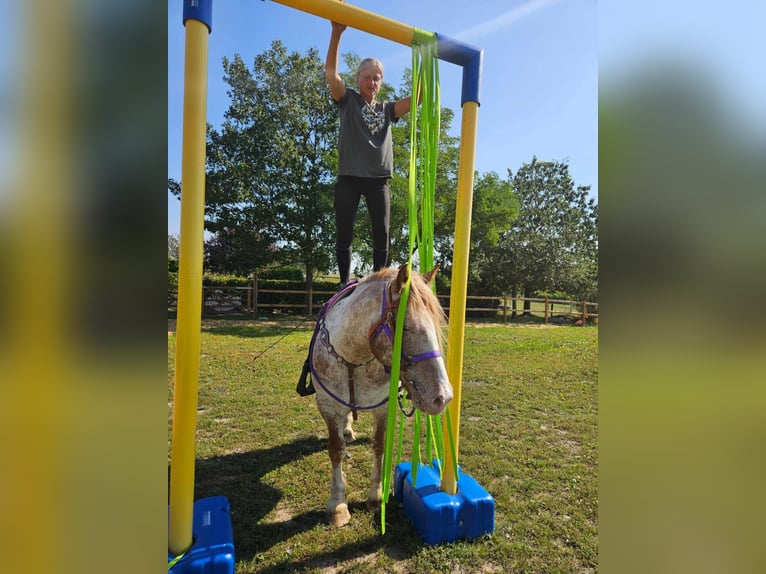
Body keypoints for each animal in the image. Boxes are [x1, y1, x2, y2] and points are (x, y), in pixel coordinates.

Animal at [300, 264, 456, 528]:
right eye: (405, 326)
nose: (442, 398)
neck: (354, 357)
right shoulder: (328, 406)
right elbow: (336, 449)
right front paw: (338, 505)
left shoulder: (383, 408)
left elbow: (379, 446)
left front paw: (376, 495)